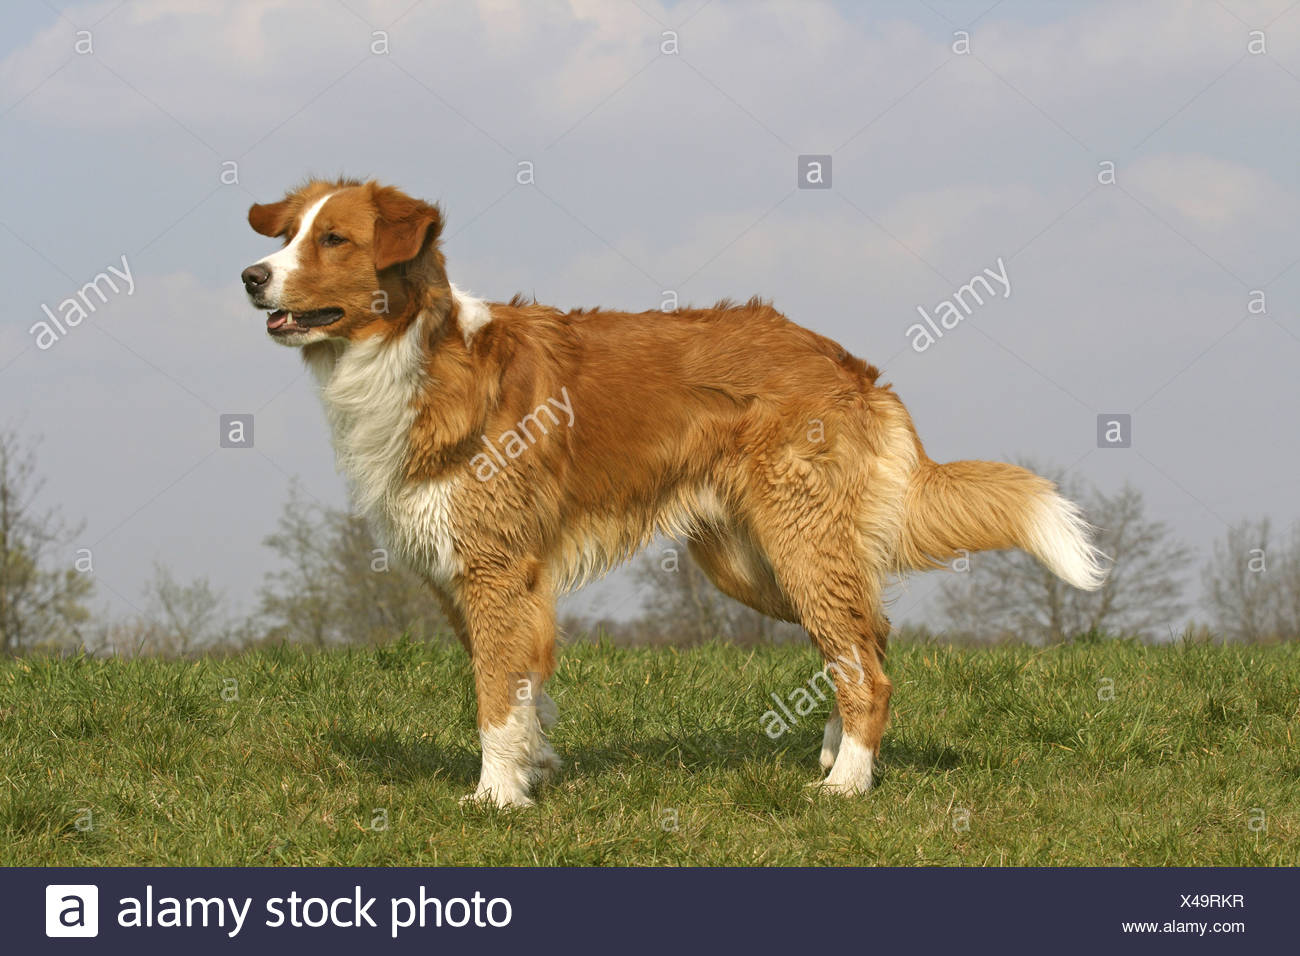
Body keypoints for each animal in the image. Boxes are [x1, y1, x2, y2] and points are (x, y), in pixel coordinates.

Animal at [239, 178, 1102, 806]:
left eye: (334, 239)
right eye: (286, 236)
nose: (250, 276)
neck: (411, 354)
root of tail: (846, 362)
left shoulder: (493, 567)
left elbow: (493, 696)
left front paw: (494, 800)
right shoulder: (465, 576)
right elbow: (520, 691)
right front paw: (533, 770)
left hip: (796, 543)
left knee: (867, 665)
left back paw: (848, 785)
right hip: (755, 562)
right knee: (867, 639)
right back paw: (834, 760)